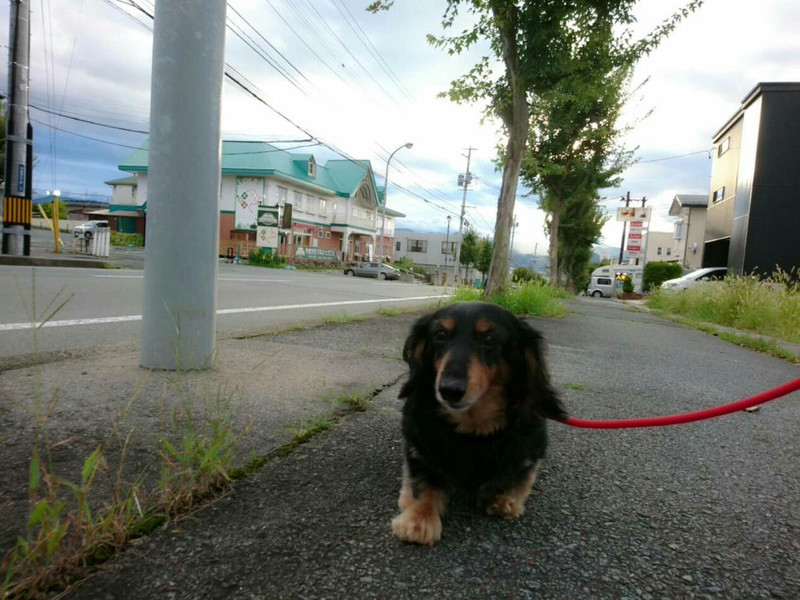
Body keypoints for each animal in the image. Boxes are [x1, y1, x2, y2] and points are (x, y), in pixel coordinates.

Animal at [390, 302, 564, 548]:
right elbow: (422, 481)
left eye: (489, 338)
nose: (449, 390)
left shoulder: (533, 445)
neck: (472, 425)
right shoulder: (417, 444)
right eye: (440, 335)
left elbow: (521, 475)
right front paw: (419, 519)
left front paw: (505, 499)